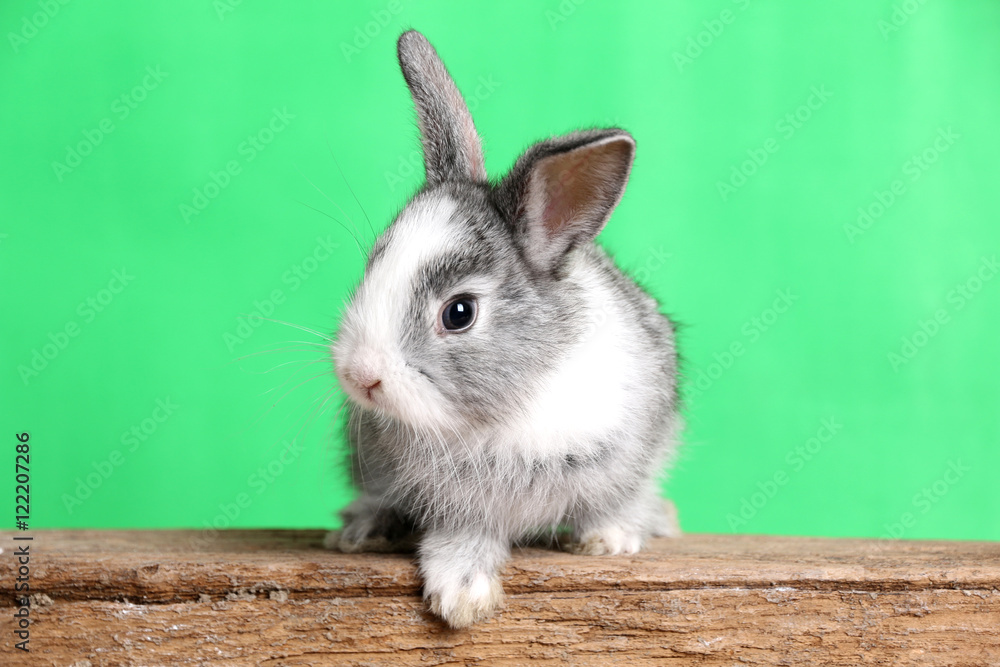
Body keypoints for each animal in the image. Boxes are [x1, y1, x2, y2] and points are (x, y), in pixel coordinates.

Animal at [325, 29, 682, 629]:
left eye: (460, 312)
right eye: (374, 263)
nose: (361, 376)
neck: (504, 407)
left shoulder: (630, 455)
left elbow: (613, 504)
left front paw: (608, 541)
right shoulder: (459, 504)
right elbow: (462, 535)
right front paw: (461, 594)